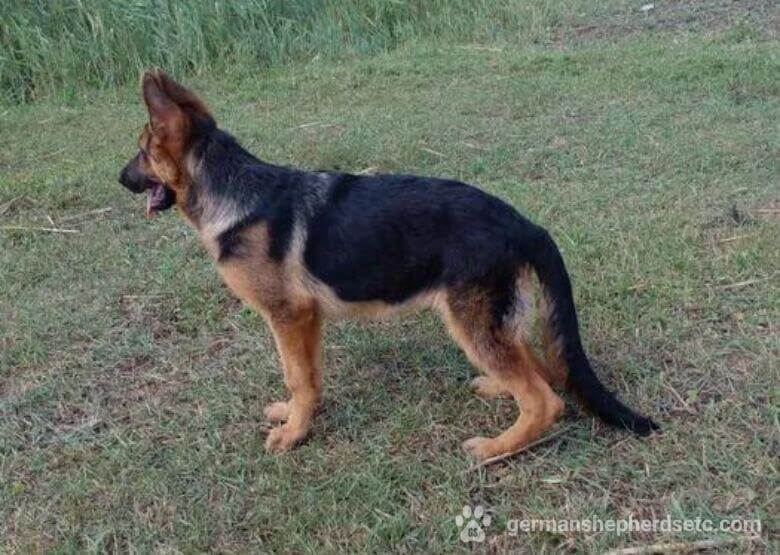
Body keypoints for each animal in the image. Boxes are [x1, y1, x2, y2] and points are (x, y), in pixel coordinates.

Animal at [120, 70, 660, 460]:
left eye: (143, 151)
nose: (119, 178)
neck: (235, 191)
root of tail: (523, 222)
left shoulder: (288, 317)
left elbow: (297, 376)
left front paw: (294, 435)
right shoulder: (307, 321)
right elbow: (307, 378)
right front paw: (297, 417)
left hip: (469, 321)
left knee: (546, 400)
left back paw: (495, 448)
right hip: (490, 322)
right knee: (540, 371)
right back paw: (499, 390)